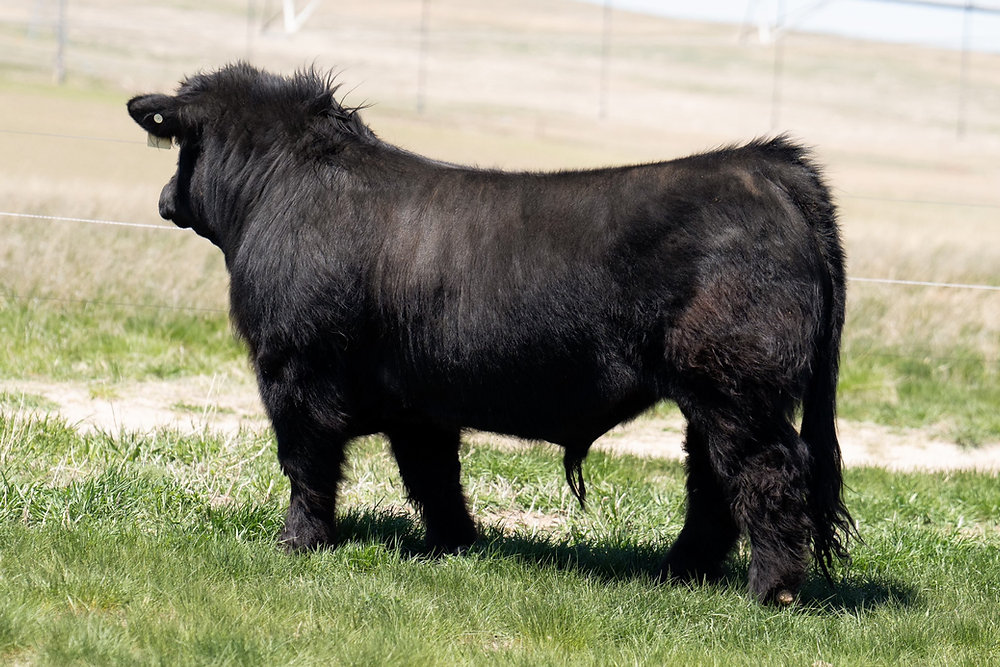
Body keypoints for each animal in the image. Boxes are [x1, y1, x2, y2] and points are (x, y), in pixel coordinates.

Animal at [127, 63, 854, 605]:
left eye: (183, 149)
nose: (162, 198)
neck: (281, 190)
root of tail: (763, 165)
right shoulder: (415, 402)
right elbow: (433, 475)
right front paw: (454, 545)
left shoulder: (293, 370)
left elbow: (307, 463)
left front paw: (298, 544)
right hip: (715, 397)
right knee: (712, 483)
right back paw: (678, 573)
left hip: (734, 388)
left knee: (766, 472)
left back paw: (769, 590)